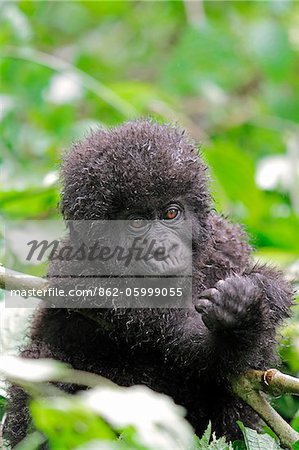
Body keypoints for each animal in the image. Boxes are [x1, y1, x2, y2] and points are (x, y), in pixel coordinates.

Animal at [4, 119, 296, 446]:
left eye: (171, 213)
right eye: (136, 221)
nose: (162, 248)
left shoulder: (227, 242)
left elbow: (253, 360)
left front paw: (262, 292)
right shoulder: (80, 272)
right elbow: (190, 347)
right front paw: (237, 319)